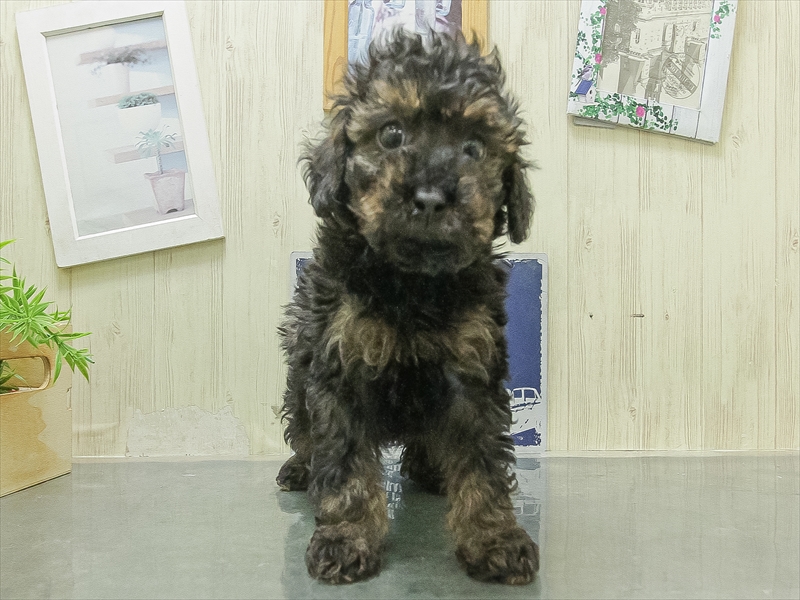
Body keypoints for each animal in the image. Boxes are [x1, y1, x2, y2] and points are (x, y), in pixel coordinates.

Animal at [277, 30, 538, 585]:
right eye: (392, 134)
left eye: (474, 147)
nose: (432, 196)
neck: (413, 282)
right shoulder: (339, 366)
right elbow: (346, 464)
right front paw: (347, 536)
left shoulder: (471, 369)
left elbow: (483, 461)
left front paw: (494, 538)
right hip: (299, 361)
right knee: (303, 427)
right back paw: (301, 468)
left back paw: (430, 468)